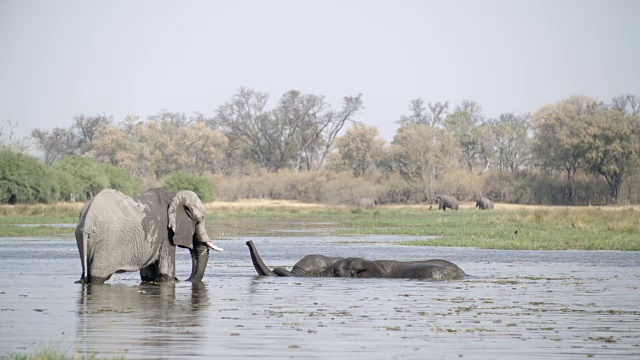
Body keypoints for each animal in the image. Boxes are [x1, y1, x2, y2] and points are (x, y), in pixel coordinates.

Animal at [75, 188, 224, 284]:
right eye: (201, 218)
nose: (185, 280)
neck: (173, 195)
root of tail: (87, 221)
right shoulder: (166, 232)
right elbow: (166, 271)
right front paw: (172, 280)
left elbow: (148, 275)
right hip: (107, 242)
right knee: (98, 276)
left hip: (82, 239)